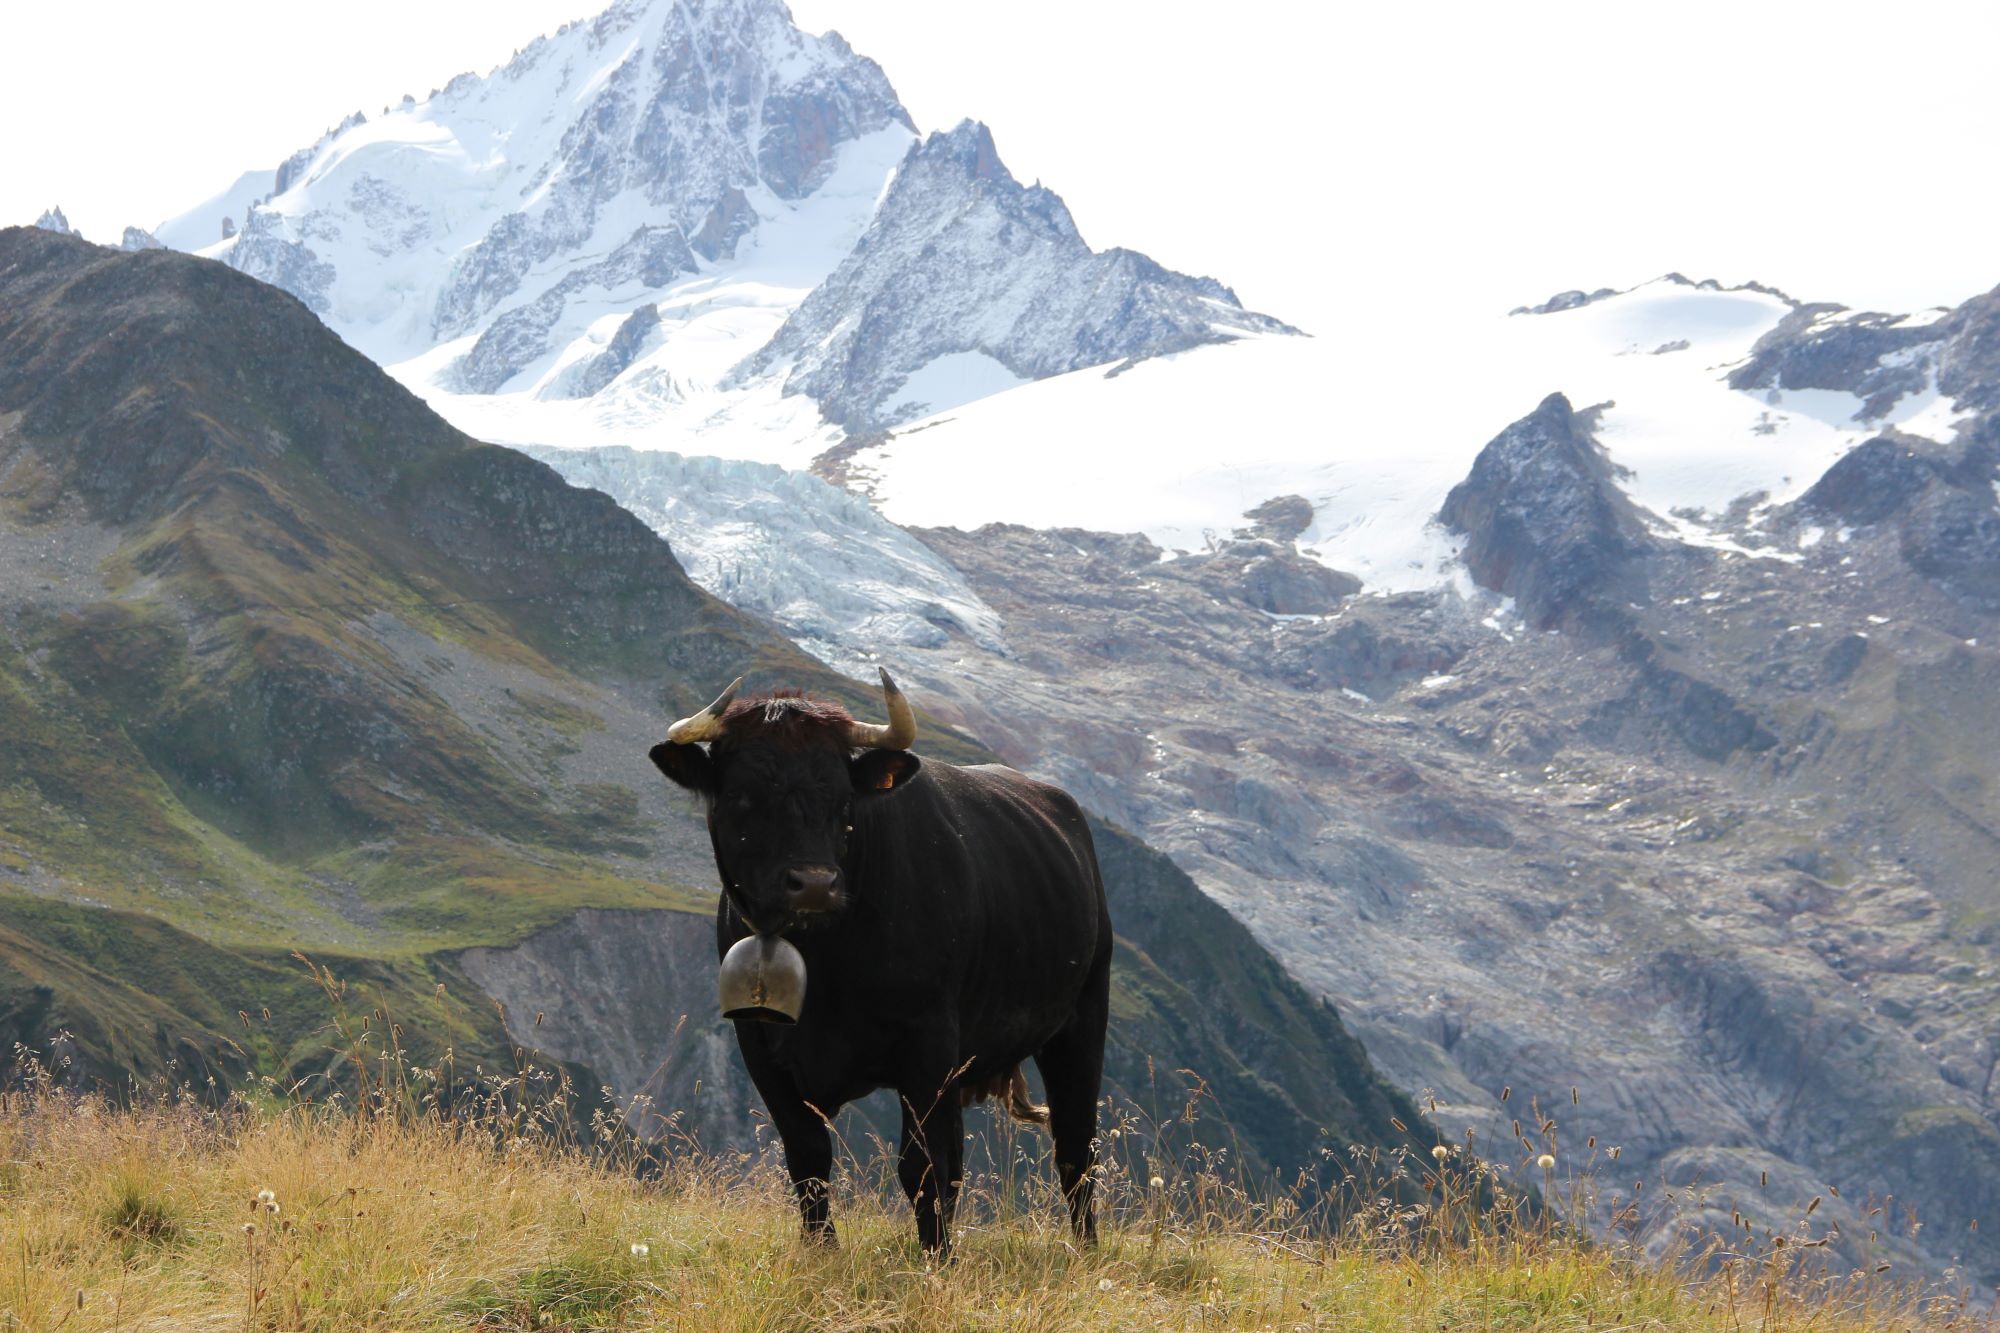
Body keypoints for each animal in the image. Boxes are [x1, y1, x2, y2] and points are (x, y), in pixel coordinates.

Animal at [648, 668, 1112, 1248]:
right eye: (741, 796)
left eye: (842, 798)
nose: (814, 884)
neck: (826, 957)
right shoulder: (757, 1044)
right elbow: (808, 1158)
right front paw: (822, 1250)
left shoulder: (928, 1040)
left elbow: (922, 1167)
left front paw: (936, 1258)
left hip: (1081, 1018)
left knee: (1075, 1148)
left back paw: (1084, 1248)